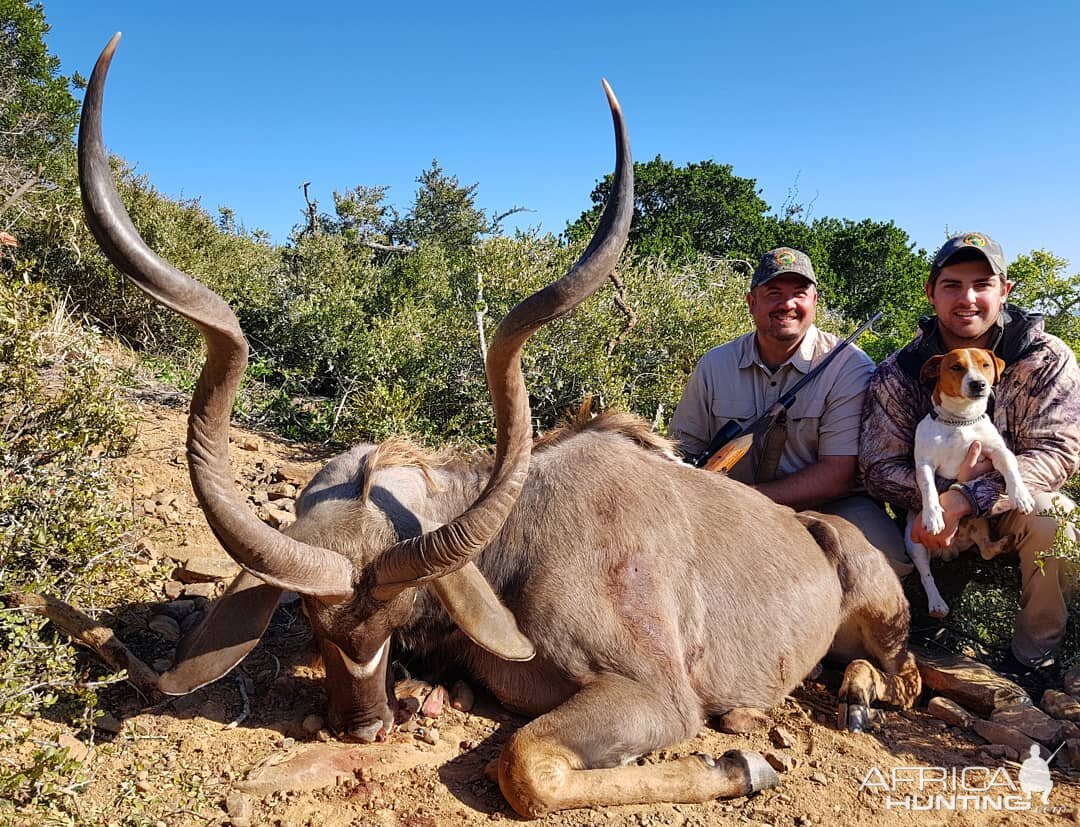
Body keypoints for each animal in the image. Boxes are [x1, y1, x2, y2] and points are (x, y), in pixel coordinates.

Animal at [902, 347, 1036, 613]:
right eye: (956, 367)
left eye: (985, 365)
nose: (978, 384)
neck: (961, 421)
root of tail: (950, 550)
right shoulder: (924, 465)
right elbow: (929, 489)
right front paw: (933, 516)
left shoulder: (998, 452)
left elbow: (1011, 467)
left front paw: (1021, 495)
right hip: (914, 543)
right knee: (926, 574)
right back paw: (937, 603)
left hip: (980, 522)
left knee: (985, 550)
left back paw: (1003, 544)